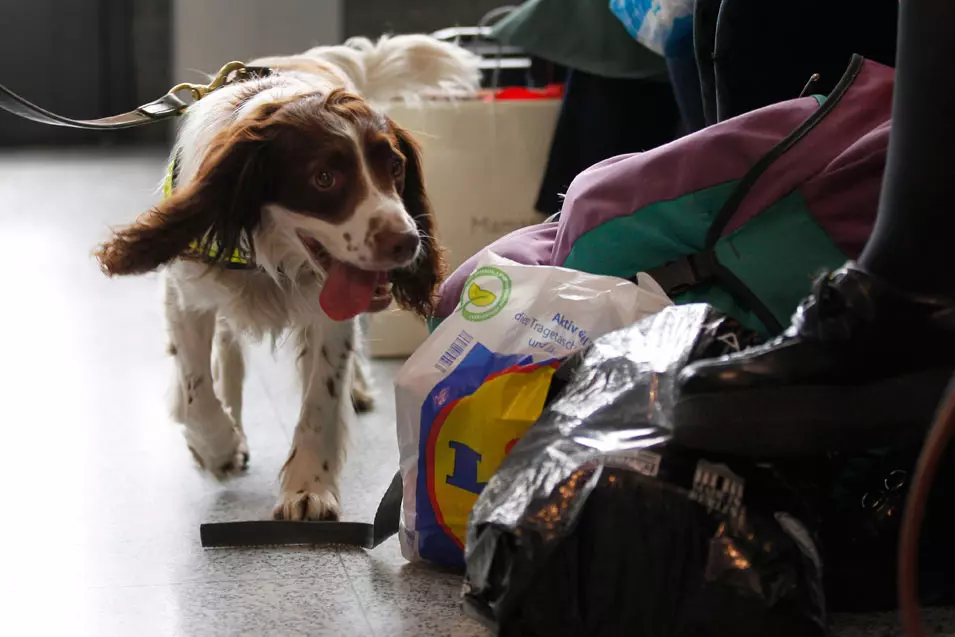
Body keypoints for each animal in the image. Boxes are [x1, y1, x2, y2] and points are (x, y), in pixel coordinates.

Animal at [94, 34, 482, 520]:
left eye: (395, 167)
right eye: (324, 178)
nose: (407, 242)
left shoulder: (328, 313)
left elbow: (321, 398)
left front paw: (309, 486)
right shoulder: (187, 297)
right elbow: (196, 388)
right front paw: (218, 446)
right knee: (227, 353)